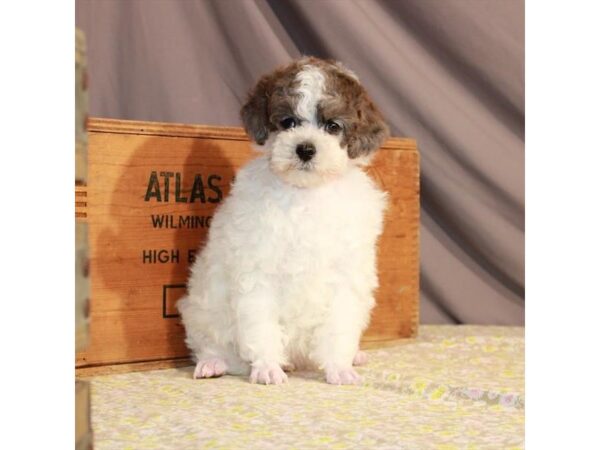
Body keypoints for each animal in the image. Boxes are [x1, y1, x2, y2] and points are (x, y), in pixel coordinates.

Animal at [178, 56, 390, 384]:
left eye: (333, 126)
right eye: (289, 122)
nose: (305, 148)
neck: (305, 195)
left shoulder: (346, 277)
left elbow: (338, 328)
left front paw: (339, 367)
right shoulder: (257, 273)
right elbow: (261, 325)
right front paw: (267, 366)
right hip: (201, 308)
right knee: (208, 342)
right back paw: (214, 363)